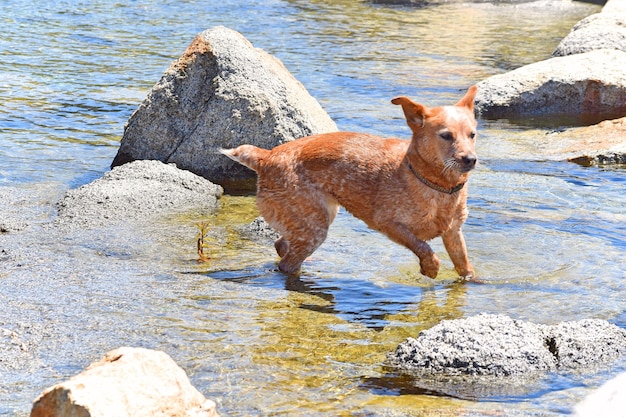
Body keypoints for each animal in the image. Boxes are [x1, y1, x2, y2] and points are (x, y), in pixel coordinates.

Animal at [222, 85, 476, 278]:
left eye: (472, 134)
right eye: (446, 135)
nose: (471, 159)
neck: (439, 186)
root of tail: (266, 157)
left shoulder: (454, 232)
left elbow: (465, 266)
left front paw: (473, 282)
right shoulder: (388, 224)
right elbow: (422, 246)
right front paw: (430, 267)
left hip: (316, 217)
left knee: (282, 245)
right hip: (314, 226)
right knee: (287, 263)